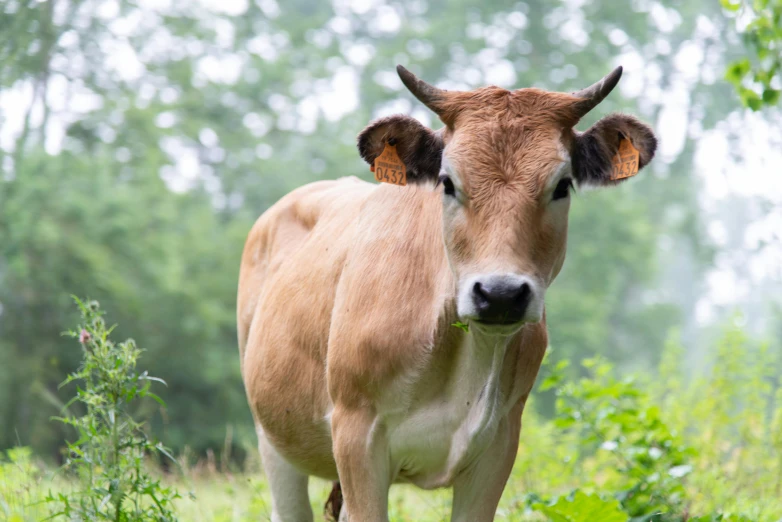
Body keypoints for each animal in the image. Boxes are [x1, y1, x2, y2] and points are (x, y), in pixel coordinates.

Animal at [237, 65, 656, 520]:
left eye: (562, 185)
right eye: (448, 182)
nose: (500, 293)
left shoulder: (499, 445)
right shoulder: (356, 434)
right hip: (273, 437)